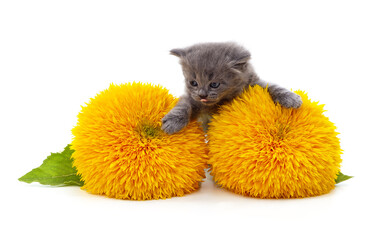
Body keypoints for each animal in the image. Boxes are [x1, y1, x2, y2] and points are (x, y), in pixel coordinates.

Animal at [160, 42, 302, 134]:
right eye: (193, 83)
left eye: (214, 84)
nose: (202, 95)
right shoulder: (192, 98)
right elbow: (183, 105)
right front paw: (172, 122)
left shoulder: (253, 83)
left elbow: (272, 86)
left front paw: (291, 98)